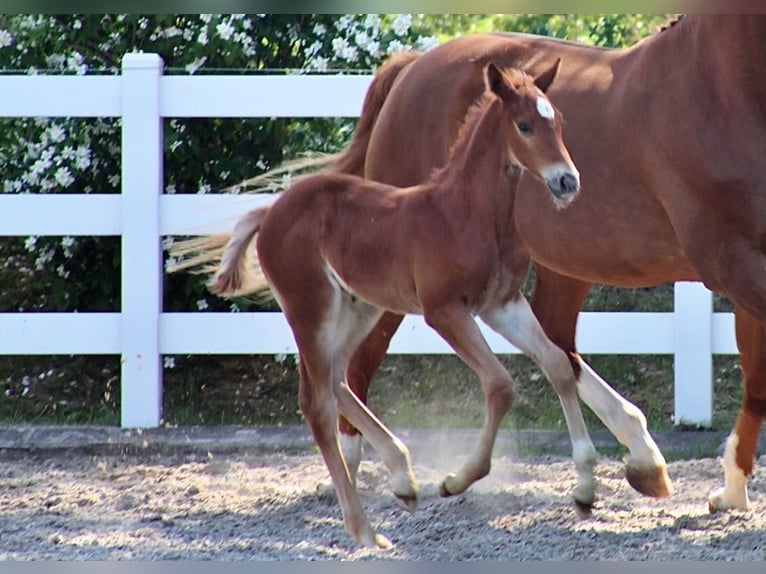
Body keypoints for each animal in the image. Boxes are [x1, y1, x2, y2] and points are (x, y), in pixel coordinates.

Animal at [209, 61, 581, 548]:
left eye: (559, 122)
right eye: (524, 125)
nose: (567, 181)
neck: (465, 213)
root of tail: (271, 211)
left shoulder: (501, 304)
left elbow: (557, 363)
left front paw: (588, 488)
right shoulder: (444, 311)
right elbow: (500, 385)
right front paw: (456, 480)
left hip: (360, 308)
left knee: (336, 379)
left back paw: (403, 478)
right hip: (311, 308)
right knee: (317, 402)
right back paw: (365, 529)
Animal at [319, 14, 766, 514]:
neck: (721, 87)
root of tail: (412, 67)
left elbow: (755, 380)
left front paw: (732, 488)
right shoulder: (732, 262)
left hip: (564, 262)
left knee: (557, 343)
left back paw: (641, 455)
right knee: (360, 361)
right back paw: (355, 469)